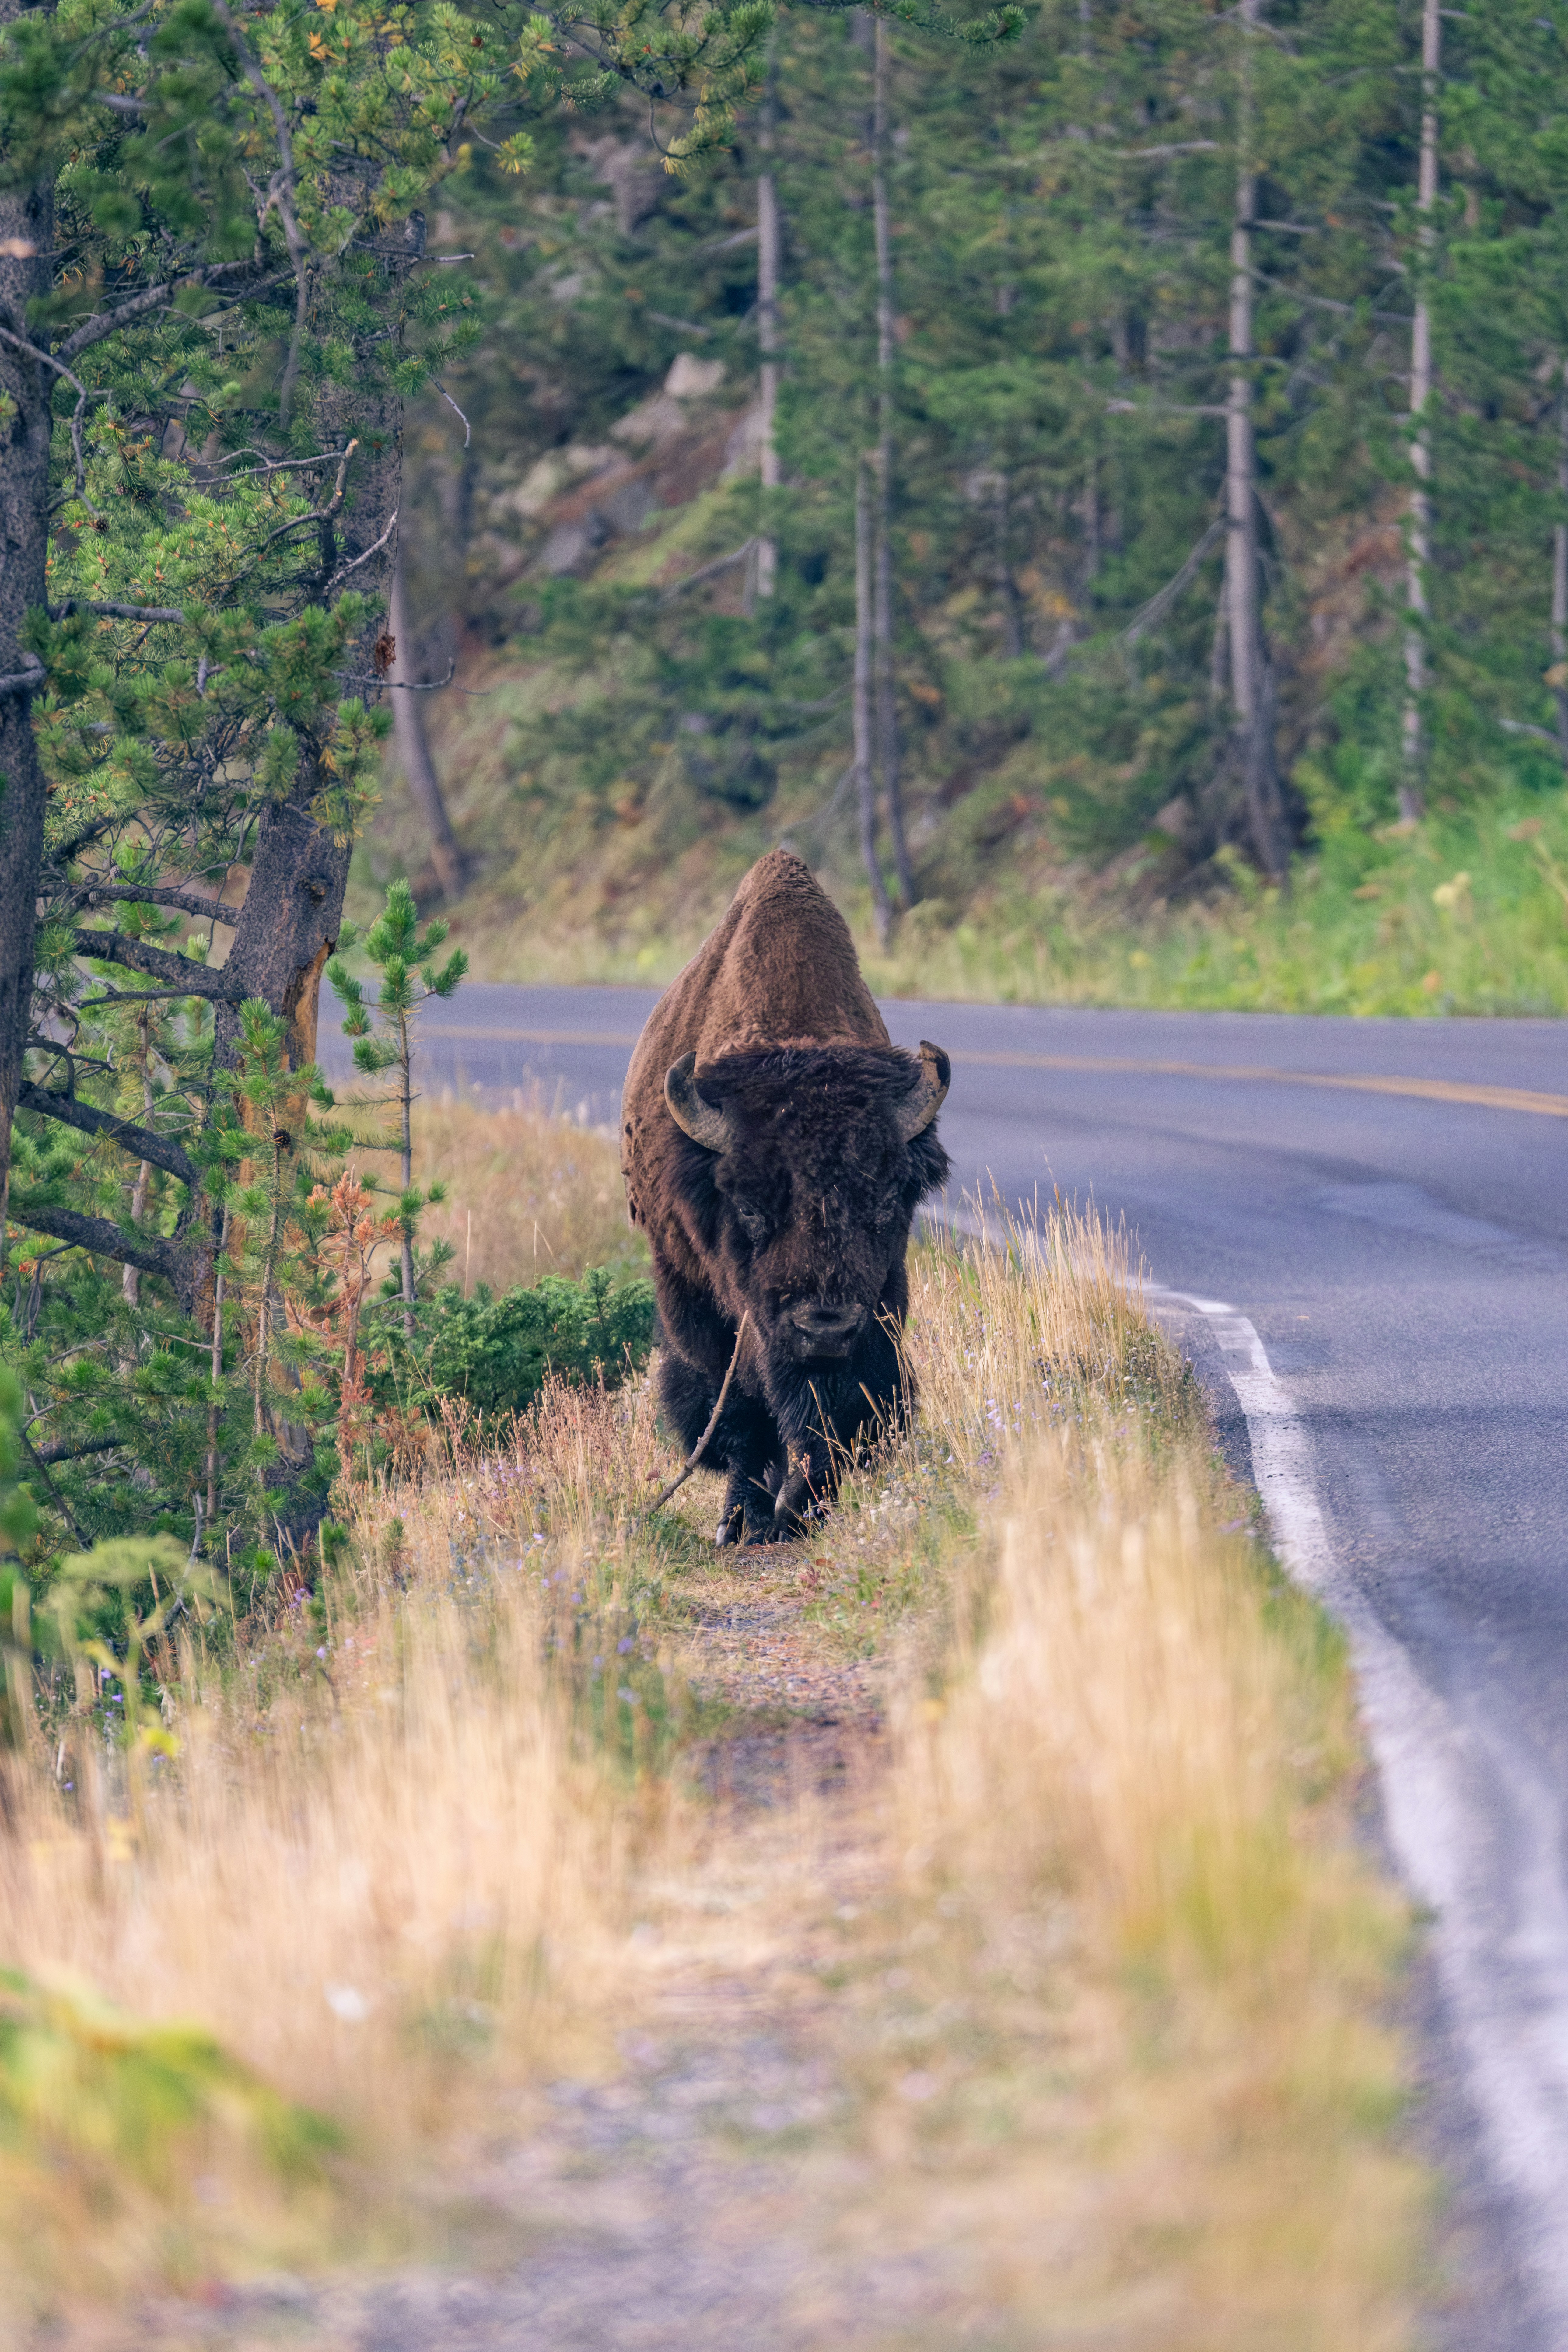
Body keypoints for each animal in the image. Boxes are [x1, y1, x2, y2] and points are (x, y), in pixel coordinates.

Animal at [621, 850, 950, 1544]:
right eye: (748, 1207)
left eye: (886, 1202)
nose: (823, 1326)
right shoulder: (721, 1316)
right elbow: (745, 1413)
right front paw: (747, 1519)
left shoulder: (876, 1310)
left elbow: (841, 1412)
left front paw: (802, 1507)